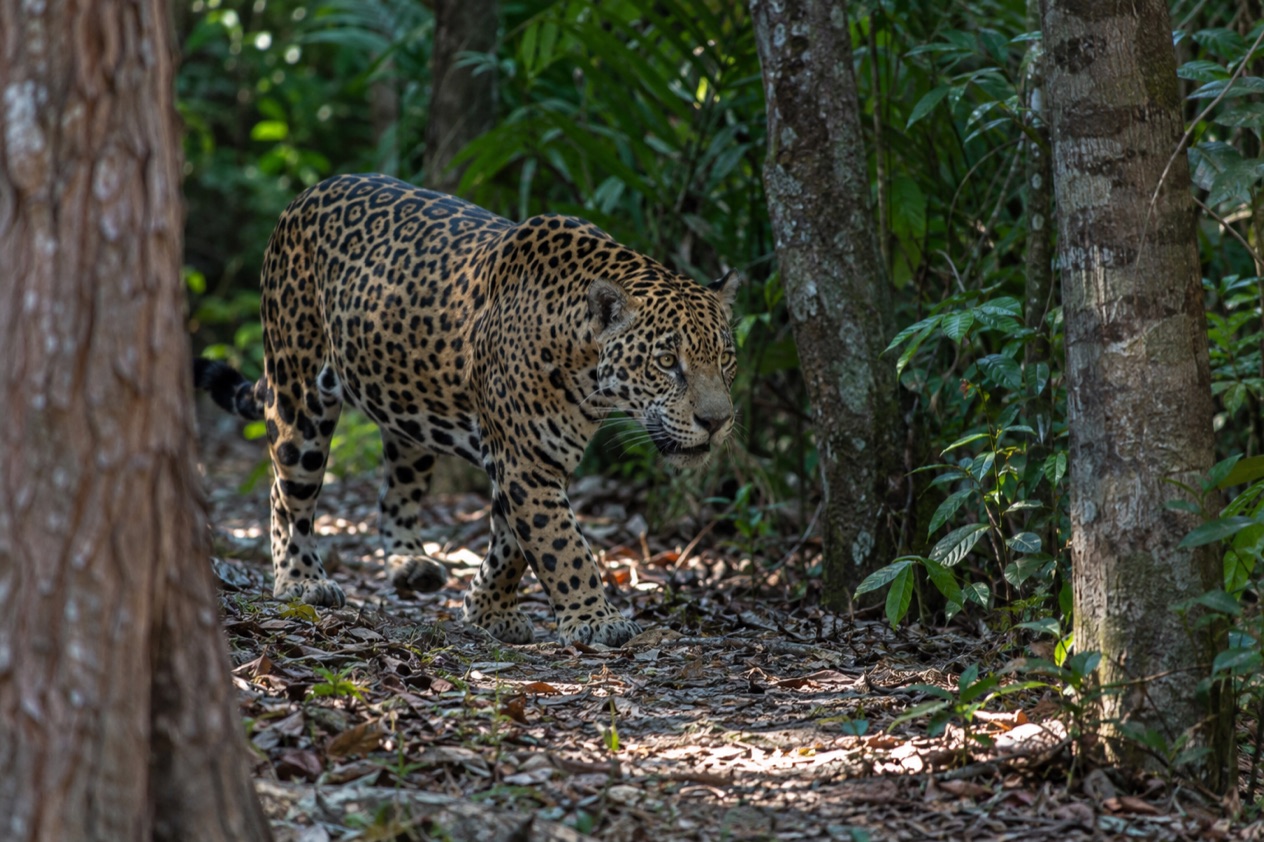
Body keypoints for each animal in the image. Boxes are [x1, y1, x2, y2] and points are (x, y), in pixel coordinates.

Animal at [194, 173, 738, 647]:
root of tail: (307, 194)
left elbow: (513, 543)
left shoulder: (531, 459)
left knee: (395, 493)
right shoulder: (526, 460)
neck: (584, 365)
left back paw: (410, 565)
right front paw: (594, 619)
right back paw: (300, 580)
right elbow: (561, 544)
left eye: (726, 359)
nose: (717, 422)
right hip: (298, 390)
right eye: (666, 362)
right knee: (287, 490)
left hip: (407, 413)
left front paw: (487, 610)